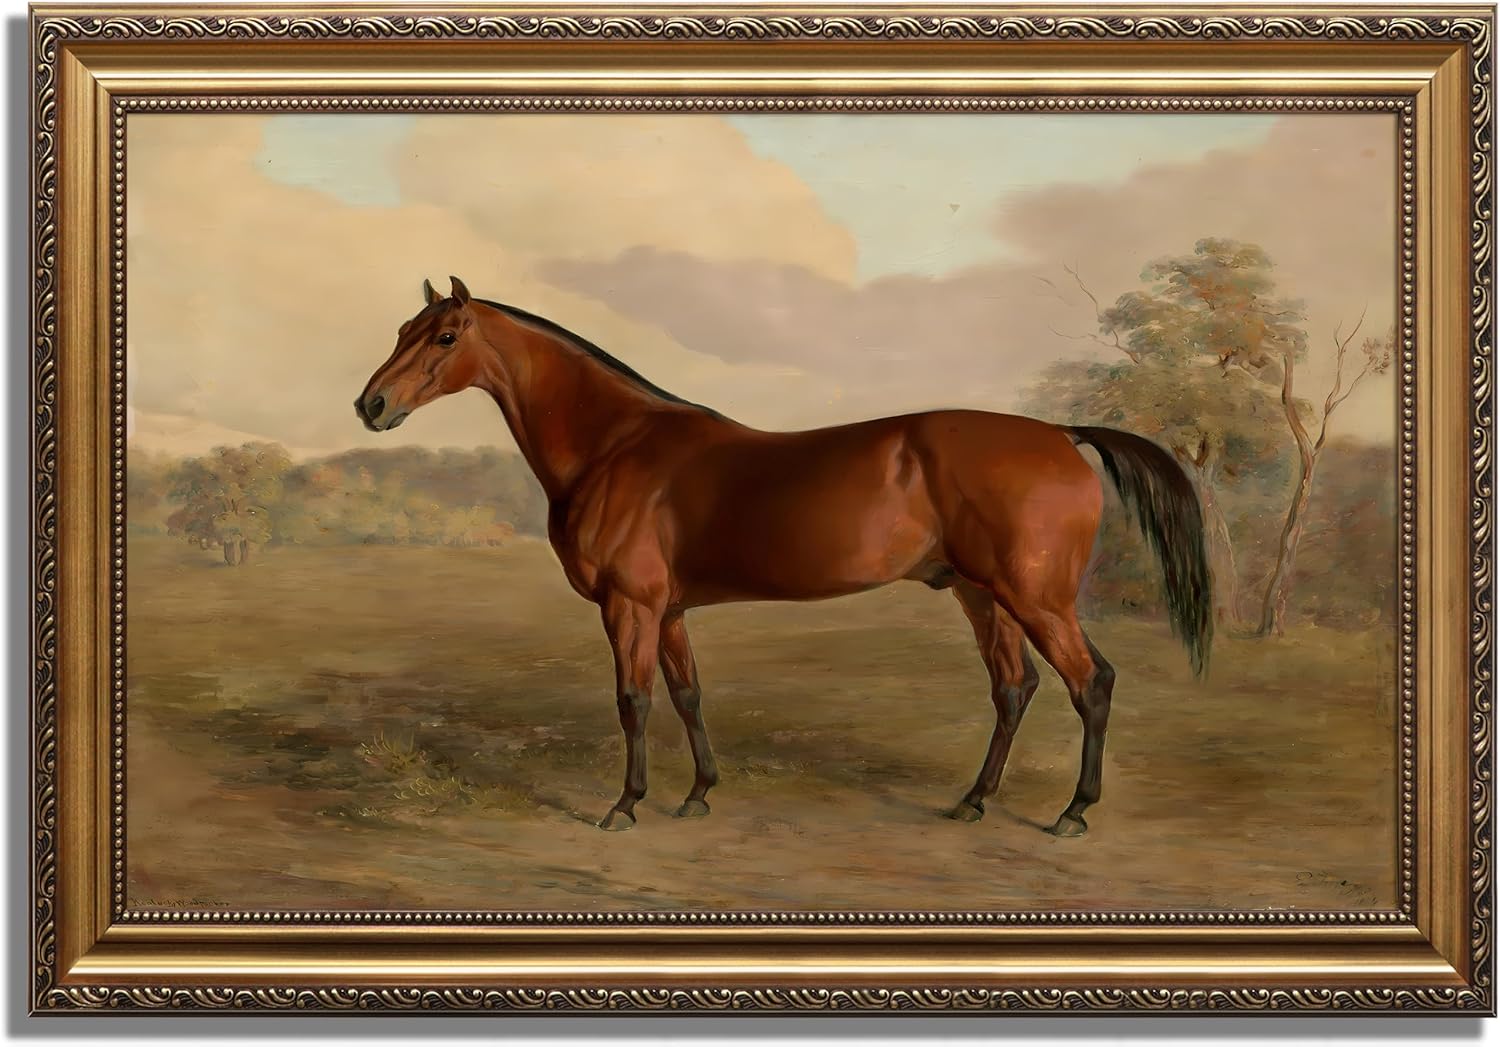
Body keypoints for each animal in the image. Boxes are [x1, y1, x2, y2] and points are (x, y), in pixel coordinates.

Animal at [356, 276, 1213, 835]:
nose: (371, 405)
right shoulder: (668, 610)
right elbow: (687, 694)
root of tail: (1061, 434)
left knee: (1090, 683)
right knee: (1014, 687)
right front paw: (698, 793)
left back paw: (1073, 811)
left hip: (1036, 597)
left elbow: (633, 700)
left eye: (444, 337)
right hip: (983, 595)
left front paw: (625, 804)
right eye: (398, 331)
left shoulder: (630, 606)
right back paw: (972, 801)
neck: (616, 445)